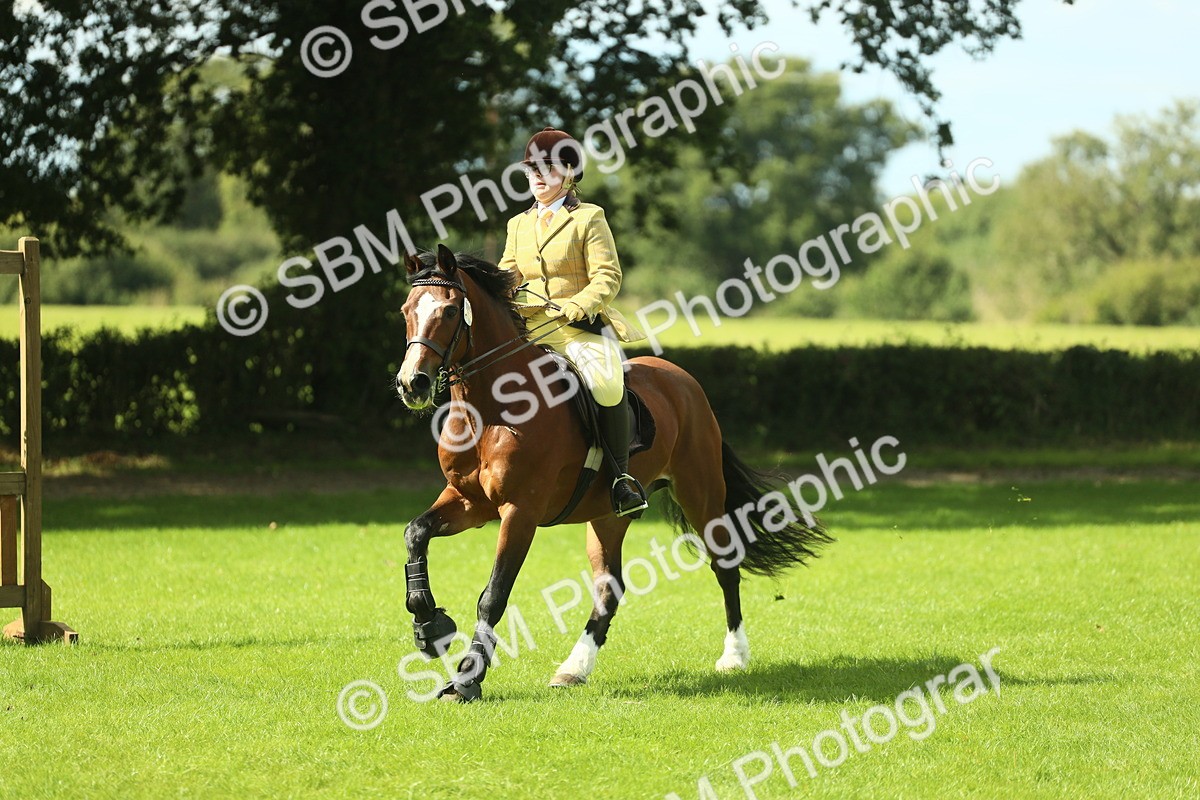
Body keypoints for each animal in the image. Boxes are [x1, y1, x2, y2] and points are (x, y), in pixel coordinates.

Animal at [395, 245, 831, 702]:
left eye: (448, 311)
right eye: (406, 310)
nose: (412, 384)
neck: (490, 411)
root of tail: (683, 380)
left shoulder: (519, 511)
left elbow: (493, 595)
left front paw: (466, 678)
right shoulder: (469, 502)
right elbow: (415, 532)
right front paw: (429, 626)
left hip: (701, 493)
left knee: (724, 564)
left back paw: (734, 656)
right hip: (607, 515)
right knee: (609, 587)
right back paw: (574, 668)